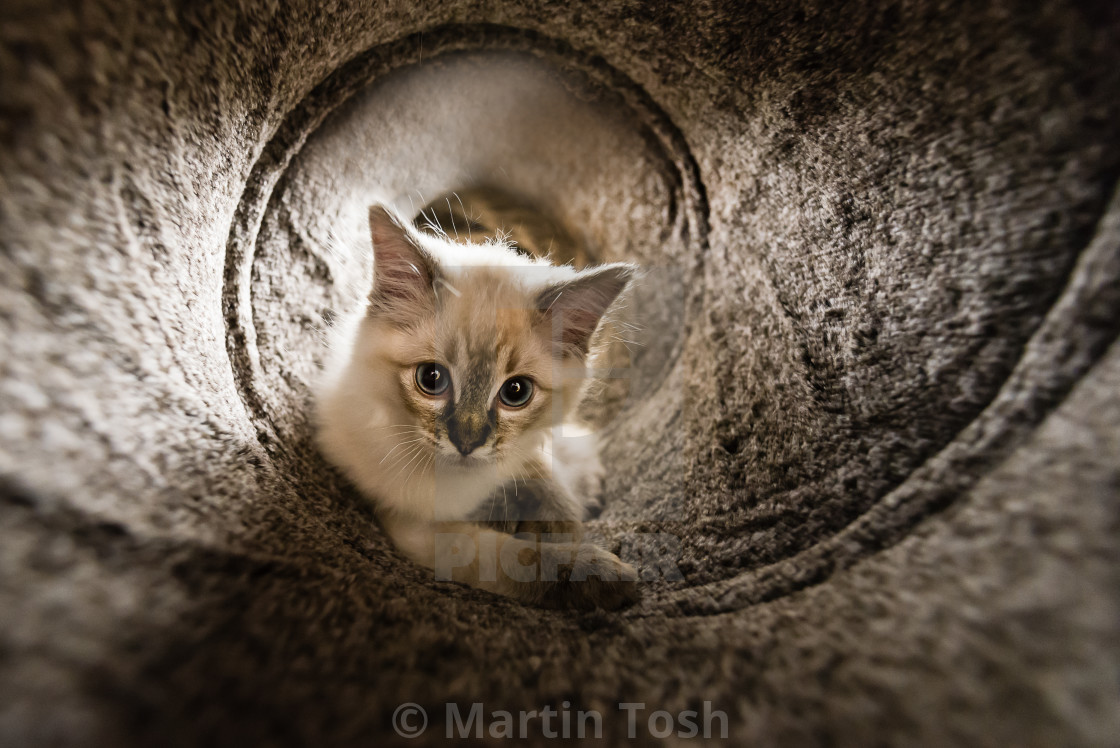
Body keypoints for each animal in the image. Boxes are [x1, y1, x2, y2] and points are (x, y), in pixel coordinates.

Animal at [320, 202, 645, 609]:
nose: (467, 443)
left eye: (516, 392)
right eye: (431, 379)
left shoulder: (524, 449)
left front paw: (562, 526)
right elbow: (521, 559)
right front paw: (600, 575)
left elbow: (547, 483)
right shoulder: (418, 525)